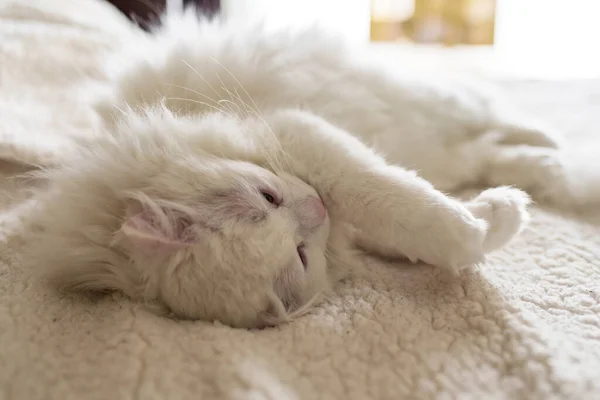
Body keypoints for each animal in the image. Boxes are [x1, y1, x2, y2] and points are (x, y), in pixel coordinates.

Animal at [27, 10, 576, 328]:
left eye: (266, 197)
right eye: (301, 255)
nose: (317, 206)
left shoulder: (297, 130)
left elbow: (392, 195)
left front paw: (478, 224)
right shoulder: (356, 225)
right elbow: (414, 225)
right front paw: (492, 220)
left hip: (429, 99)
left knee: (493, 114)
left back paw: (553, 144)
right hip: (446, 142)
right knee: (486, 149)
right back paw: (538, 175)